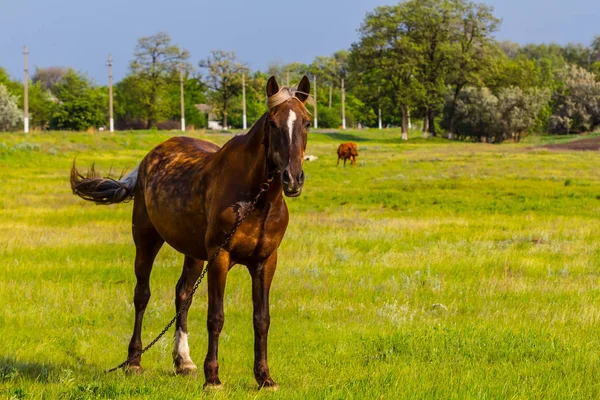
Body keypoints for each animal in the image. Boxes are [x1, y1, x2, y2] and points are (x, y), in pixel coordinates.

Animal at [69, 75, 312, 388]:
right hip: (146, 240)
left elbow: (261, 319)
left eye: (307, 122)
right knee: (142, 294)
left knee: (183, 294)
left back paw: (183, 361)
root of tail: (148, 159)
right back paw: (134, 361)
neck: (255, 201)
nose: (292, 179)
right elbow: (216, 317)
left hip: (195, 254)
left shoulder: (266, 261)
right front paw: (213, 378)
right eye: (273, 122)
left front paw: (264, 377)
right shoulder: (220, 258)